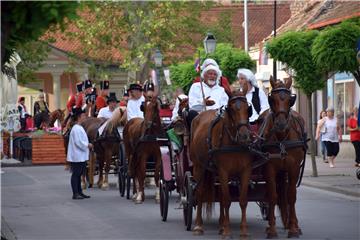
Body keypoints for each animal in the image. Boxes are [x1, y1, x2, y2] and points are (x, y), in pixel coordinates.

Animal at [188, 84, 253, 236]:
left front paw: (243, 230)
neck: (234, 143)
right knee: (199, 192)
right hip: (199, 167)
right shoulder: (224, 171)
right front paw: (227, 231)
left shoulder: (245, 171)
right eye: (231, 109)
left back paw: (221, 224)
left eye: (248, 108)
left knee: (221, 196)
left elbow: (242, 200)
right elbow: (227, 200)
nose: (245, 136)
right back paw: (199, 225)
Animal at [258, 77, 306, 238]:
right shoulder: (269, 168)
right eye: (272, 99)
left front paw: (293, 229)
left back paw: (293, 224)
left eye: (290, 100)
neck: (281, 138)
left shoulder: (294, 168)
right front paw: (272, 229)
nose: (280, 124)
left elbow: (291, 196)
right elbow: (273, 196)